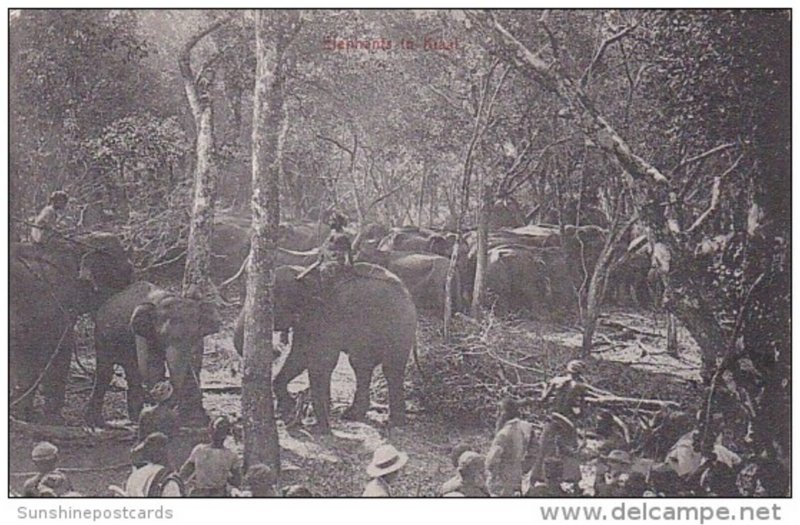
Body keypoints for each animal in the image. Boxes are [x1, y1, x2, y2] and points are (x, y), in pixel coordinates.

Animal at [9, 233, 133, 422]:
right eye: (126, 274)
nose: (95, 421)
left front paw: (24, 414)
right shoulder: (55, 308)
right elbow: (58, 352)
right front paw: (53, 419)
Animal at [84, 282, 220, 426]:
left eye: (194, 335)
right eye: (162, 335)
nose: (164, 388)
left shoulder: (200, 342)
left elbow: (194, 365)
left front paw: (196, 420)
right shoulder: (145, 335)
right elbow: (152, 366)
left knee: (130, 373)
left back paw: (133, 418)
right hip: (101, 337)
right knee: (106, 372)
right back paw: (96, 422)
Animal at [233, 264, 416, 432]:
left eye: (270, 304)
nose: (275, 350)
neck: (304, 275)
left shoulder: (327, 318)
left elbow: (320, 360)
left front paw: (317, 422)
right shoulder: (307, 320)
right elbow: (299, 355)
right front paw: (289, 406)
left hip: (398, 328)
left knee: (387, 368)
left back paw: (390, 422)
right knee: (364, 366)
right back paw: (356, 415)